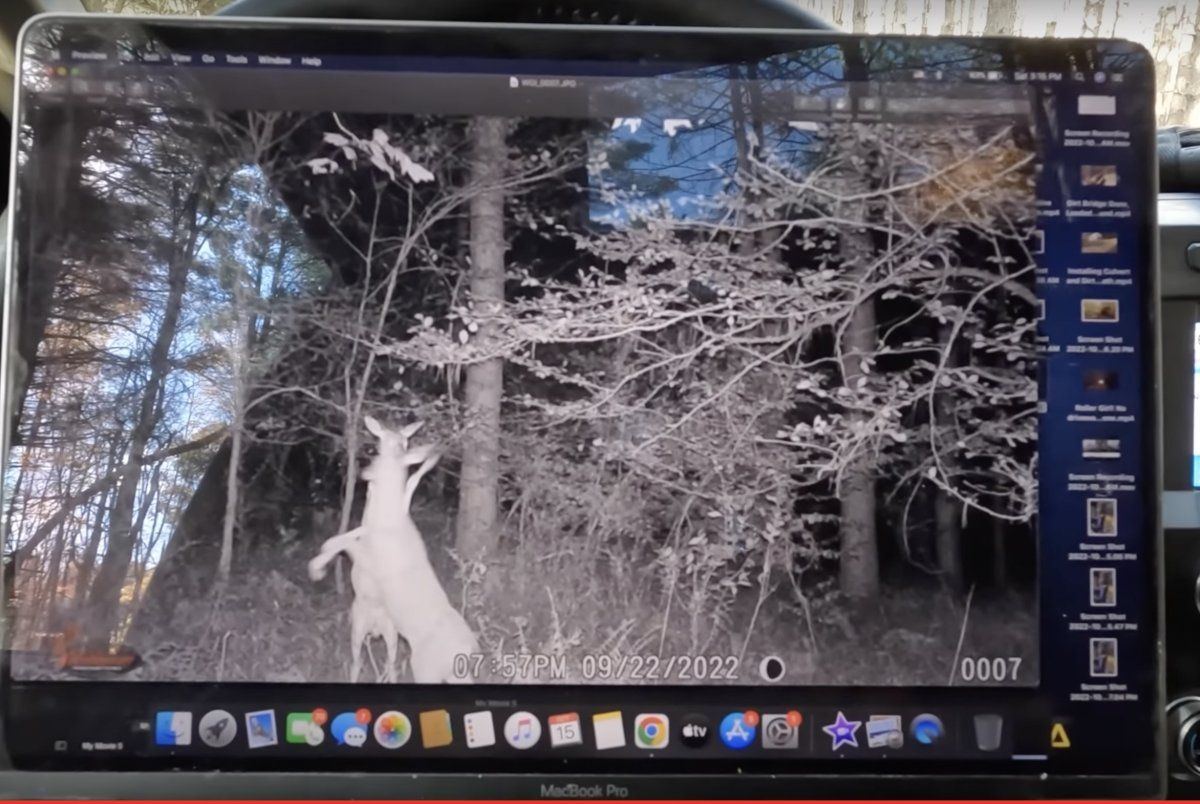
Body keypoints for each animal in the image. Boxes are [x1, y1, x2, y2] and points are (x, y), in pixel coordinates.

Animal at [308, 416, 478, 683]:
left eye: (379, 451)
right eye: (379, 441)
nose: (364, 472)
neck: (386, 518)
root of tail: (464, 652)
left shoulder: (369, 554)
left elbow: (336, 541)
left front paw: (316, 569)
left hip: (424, 668)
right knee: (380, 663)